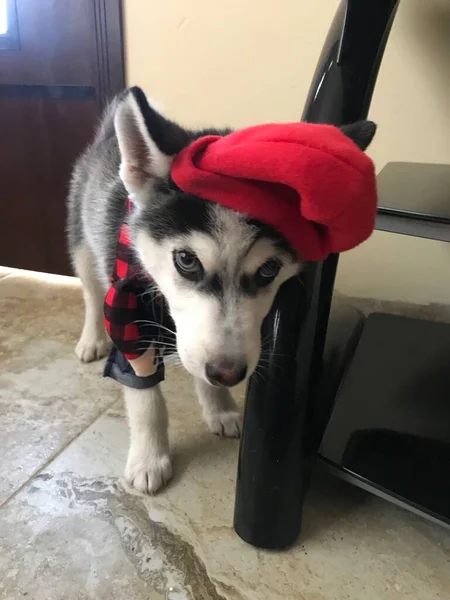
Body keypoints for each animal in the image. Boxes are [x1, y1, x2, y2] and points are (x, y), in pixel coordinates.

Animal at [67, 86, 376, 494]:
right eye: (186, 259)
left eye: (269, 269)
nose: (229, 374)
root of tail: (108, 137)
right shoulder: (127, 309)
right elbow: (145, 395)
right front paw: (150, 457)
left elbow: (203, 362)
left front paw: (221, 406)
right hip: (83, 241)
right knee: (88, 290)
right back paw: (91, 339)